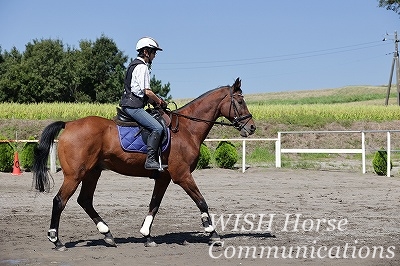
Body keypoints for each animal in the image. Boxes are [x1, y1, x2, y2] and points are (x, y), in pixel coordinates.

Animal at [32, 76, 256, 249]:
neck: (186, 128)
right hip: (75, 174)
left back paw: (107, 234)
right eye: (240, 102)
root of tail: (69, 124)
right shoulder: (182, 175)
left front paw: (147, 235)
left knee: (85, 200)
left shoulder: (164, 177)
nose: (252, 127)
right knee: (59, 201)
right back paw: (56, 240)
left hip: (92, 172)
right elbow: (201, 201)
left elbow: (154, 204)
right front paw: (212, 232)